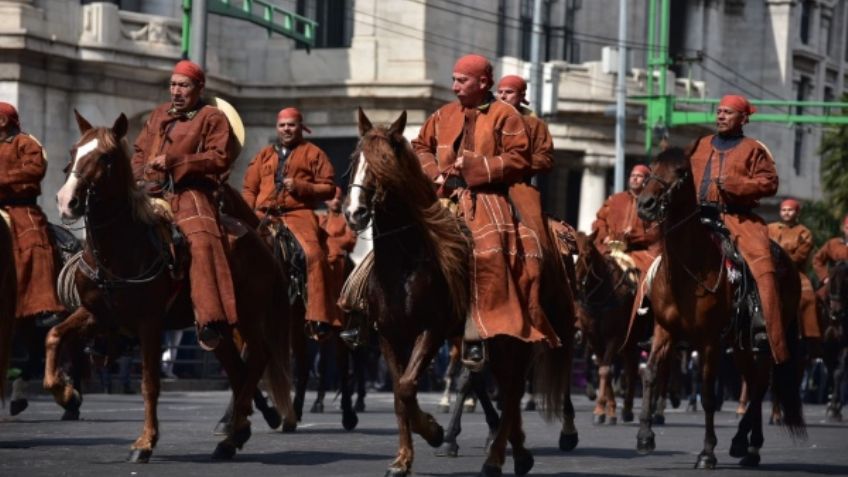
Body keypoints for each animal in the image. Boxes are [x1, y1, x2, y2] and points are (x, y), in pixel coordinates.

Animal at [48, 111, 294, 462]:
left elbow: (150, 382)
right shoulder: (95, 313)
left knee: (256, 359)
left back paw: (236, 431)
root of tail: (263, 243)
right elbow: (54, 336)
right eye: (74, 151)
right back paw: (234, 435)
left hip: (246, 315)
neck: (122, 249)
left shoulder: (149, 323)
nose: (67, 201)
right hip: (215, 324)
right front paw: (65, 394)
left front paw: (145, 443)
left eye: (106, 157)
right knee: (237, 369)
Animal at [342, 109, 568, 476]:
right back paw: (517, 452)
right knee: (503, 384)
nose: (355, 213)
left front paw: (433, 432)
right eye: (355, 159)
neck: (405, 264)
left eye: (386, 162)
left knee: (512, 388)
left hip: (511, 337)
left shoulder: (432, 330)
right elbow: (400, 393)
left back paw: (495, 458)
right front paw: (402, 459)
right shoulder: (389, 334)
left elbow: (407, 387)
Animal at [572, 231, 640, 424]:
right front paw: (608, 409)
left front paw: (600, 410)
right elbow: (604, 368)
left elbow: (604, 370)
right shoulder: (594, 338)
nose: (574, 286)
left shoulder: (614, 337)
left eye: (588, 255)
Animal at [636, 147, 808, 466]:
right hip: (739, 346)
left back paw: (750, 445)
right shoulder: (665, 331)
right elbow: (651, 372)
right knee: (752, 382)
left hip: (763, 341)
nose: (645, 204)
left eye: (681, 171)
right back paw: (744, 443)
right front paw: (644, 436)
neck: (688, 269)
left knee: (759, 385)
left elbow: (707, 394)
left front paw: (707, 452)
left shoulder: (709, 342)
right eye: (651, 167)